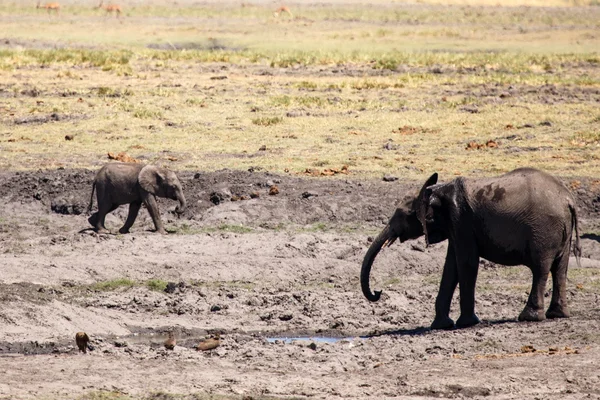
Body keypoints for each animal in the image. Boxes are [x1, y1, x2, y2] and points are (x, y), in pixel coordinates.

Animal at [360, 167, 580, 330]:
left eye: (402, 214)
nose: (378, 292)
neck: (436, 191)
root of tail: (568, 200)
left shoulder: (461, 220)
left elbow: (466, 263)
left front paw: (466, 323)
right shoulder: (455, 226)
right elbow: (451, 268)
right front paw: (441, 325)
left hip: (543, 230)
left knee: (541, 269)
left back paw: (529, 317)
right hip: (560, 231)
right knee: (560, 269)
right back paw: (557, 315)